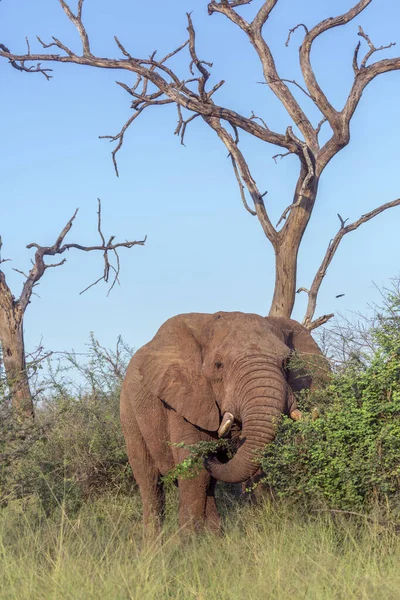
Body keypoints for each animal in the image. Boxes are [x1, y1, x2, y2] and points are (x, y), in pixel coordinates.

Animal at [120, 312, 326, 532]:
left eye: (286, 362)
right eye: (219, 365)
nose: (213, 453)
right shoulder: (182, 398)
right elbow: (193, 467)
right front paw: (188, 541)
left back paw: (214, 536)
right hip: (128, 411)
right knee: (149, 480)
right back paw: (154, 541)